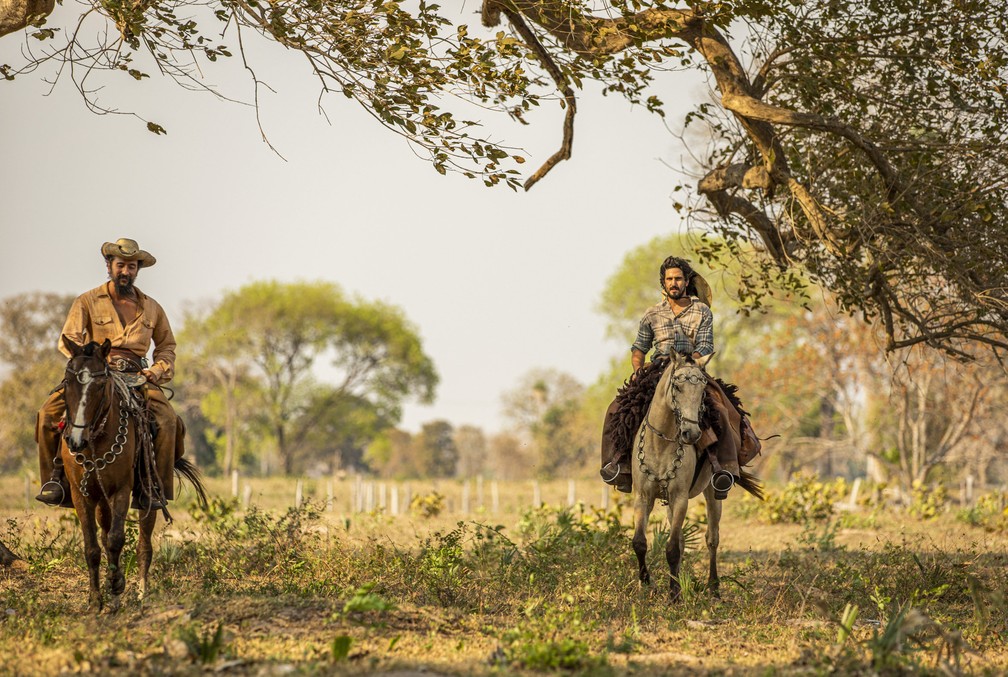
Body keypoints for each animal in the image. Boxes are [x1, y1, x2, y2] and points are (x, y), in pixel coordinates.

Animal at [59, 338, 206, 612]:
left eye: (101, 384)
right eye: (67, 382)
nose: (75, 440)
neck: (96, 439)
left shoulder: (121, 490)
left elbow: (116, 539)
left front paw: (116, 588)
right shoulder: (80, 494)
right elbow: (92, 547)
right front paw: (95, 601)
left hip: (148, 495)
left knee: (143, 546)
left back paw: (141, 594)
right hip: (100, 499)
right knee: (105, 536)